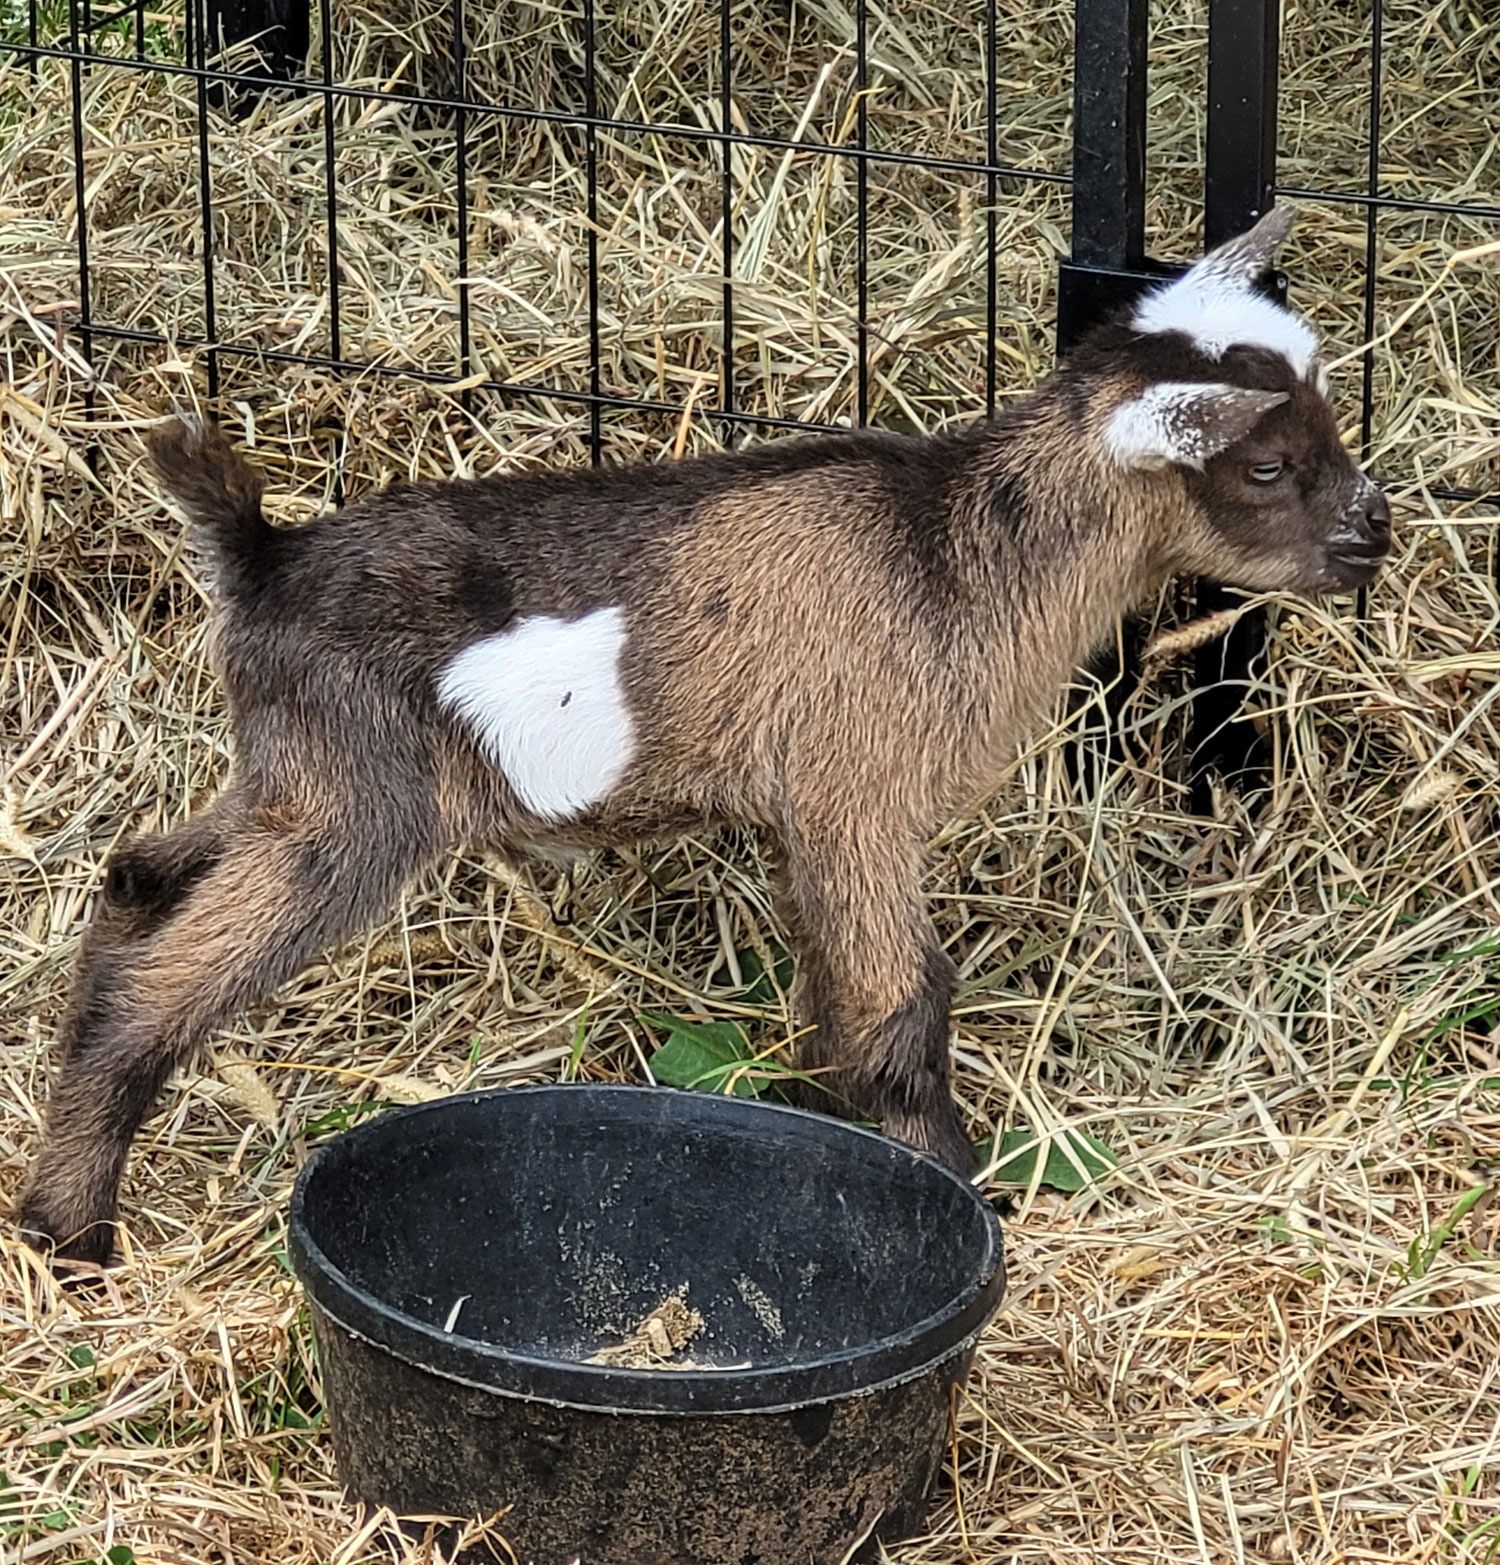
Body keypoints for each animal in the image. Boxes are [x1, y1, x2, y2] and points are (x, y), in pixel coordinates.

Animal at [18, 206, 1390, 1265]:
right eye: (1268, 467)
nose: (1372, 532)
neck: (954, 554)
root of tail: (260, 557)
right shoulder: (857, 793)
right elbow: (898, 1004)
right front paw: (965, 1190)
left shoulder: (812, 820)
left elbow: (838, 1001)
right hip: (359, 807)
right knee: (160, 987)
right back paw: (70, 1227)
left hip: (285, 777)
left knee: (137, 877)